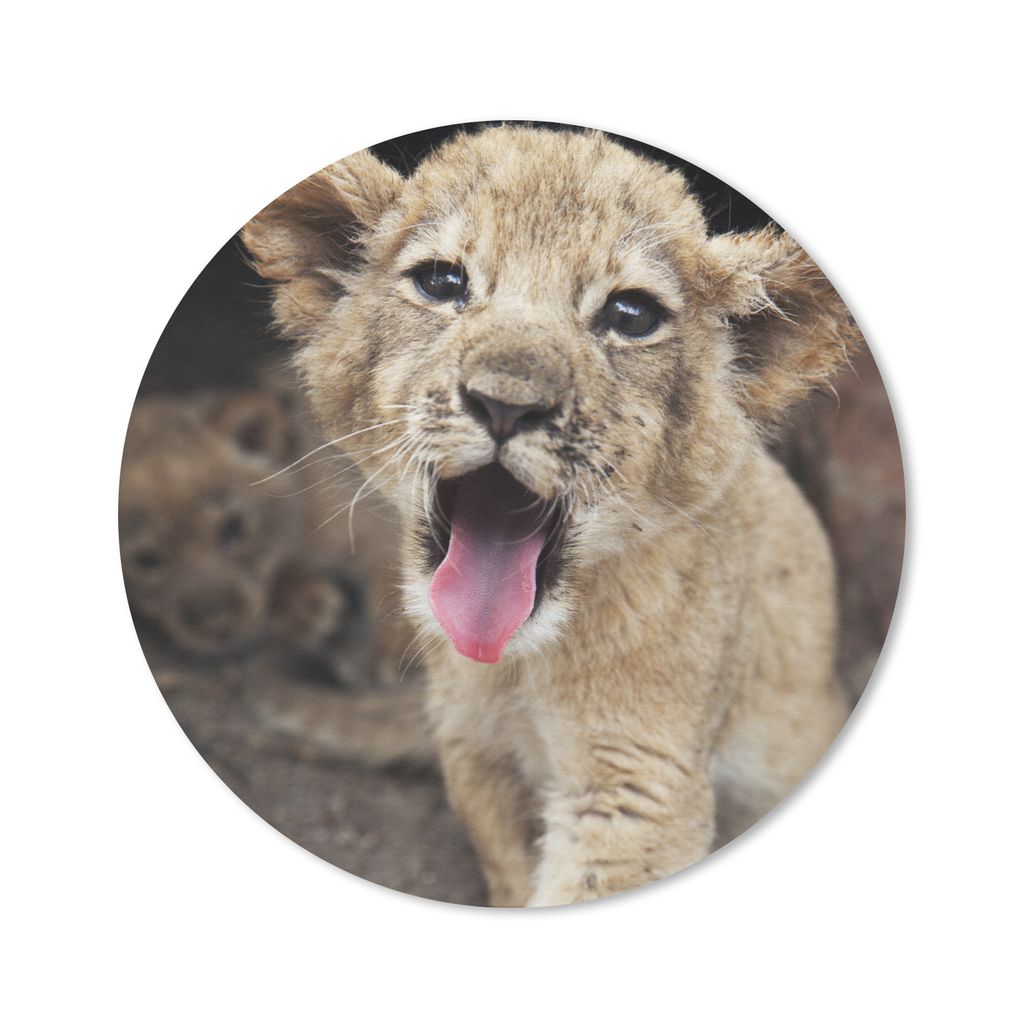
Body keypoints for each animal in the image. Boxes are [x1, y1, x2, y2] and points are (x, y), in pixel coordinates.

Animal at [242, 125, 860, 906]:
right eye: (441, 283)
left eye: (630, 316)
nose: (506, 404)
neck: (522, 667)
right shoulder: (476, 754)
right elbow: (511, 877)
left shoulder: (639, 783)